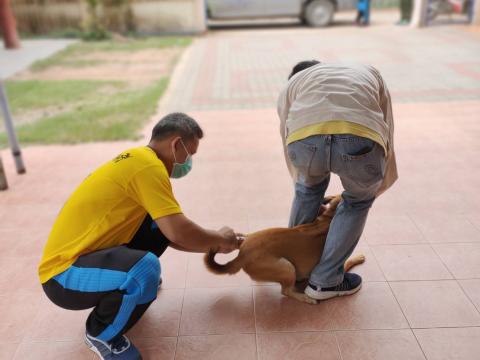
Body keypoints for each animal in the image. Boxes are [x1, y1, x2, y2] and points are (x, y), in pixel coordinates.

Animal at [204, 194, 366, 304]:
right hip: (287, 267)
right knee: (286, 291)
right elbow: (347, 263)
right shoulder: (336, 266)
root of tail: (241, 255)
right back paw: (305, 297)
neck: (328, 218)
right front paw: (358, 258)